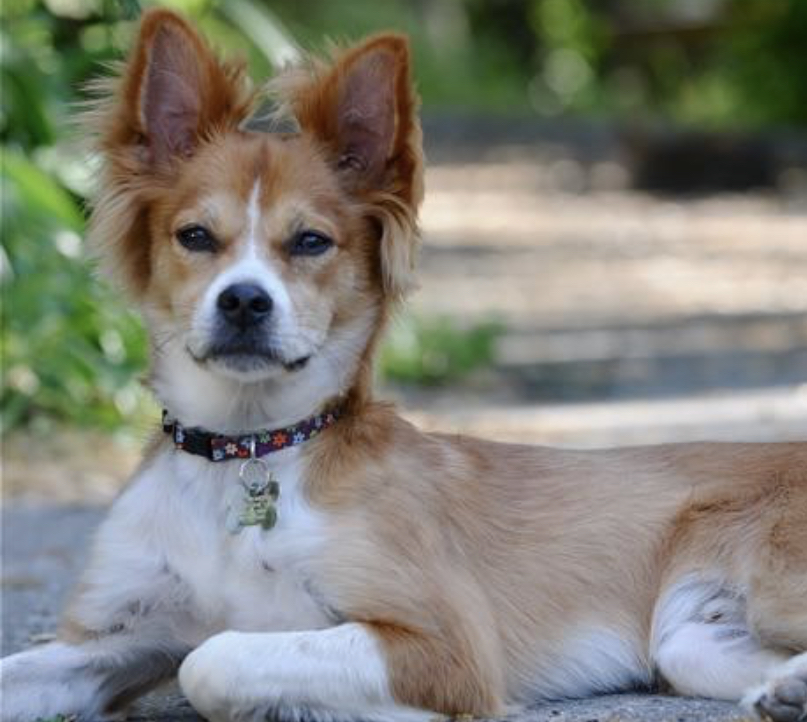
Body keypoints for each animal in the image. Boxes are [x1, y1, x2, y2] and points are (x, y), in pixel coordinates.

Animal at [1, 9, 807, 720]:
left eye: (311, 241)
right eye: (195, 236)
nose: (244, 302)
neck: (248, 452)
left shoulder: (445, 646)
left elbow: (213, 659)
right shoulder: (115, 634)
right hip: (692, 641)